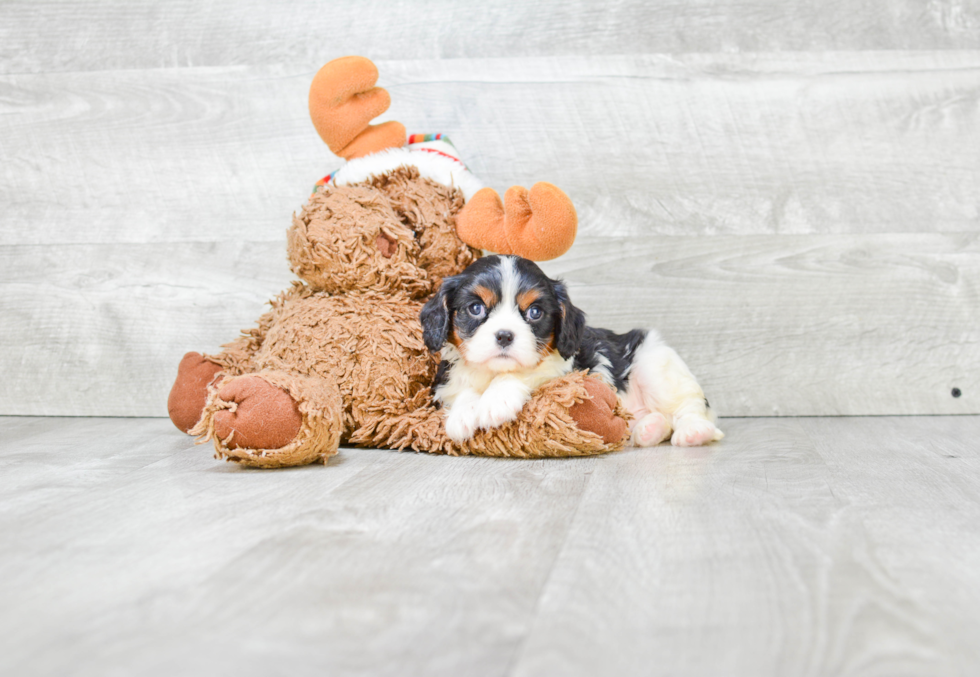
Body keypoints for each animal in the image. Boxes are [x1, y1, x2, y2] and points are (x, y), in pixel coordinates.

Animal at [418, 256, 724, 446]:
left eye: (535, 312)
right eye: (475, 308)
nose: (505, 335)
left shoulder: (564, 369)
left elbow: (524, 372)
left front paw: (496, 400)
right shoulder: (448, 380)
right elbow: (462, 389)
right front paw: (462, 414)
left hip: (656, 366)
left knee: (688, 408)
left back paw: (693, 431)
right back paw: (649, 430)